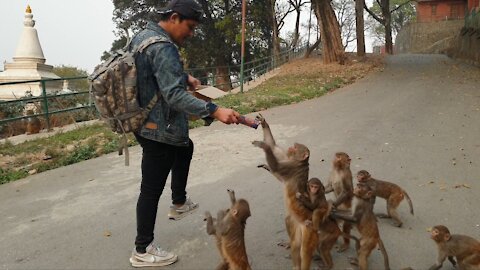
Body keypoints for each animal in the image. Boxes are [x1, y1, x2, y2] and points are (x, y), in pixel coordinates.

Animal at [253, 115, 316, 270]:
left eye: (295, 147)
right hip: (297, 224)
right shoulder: (288, 159)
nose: (291, 146)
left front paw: (264, 146)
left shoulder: (291, 166)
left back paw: (297, 265)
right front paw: (263, 122)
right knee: (289, 224)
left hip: (308, 231)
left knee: (302, 250)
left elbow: (276, 166)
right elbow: (274, 149)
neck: (300, 162)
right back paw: (289, 243)